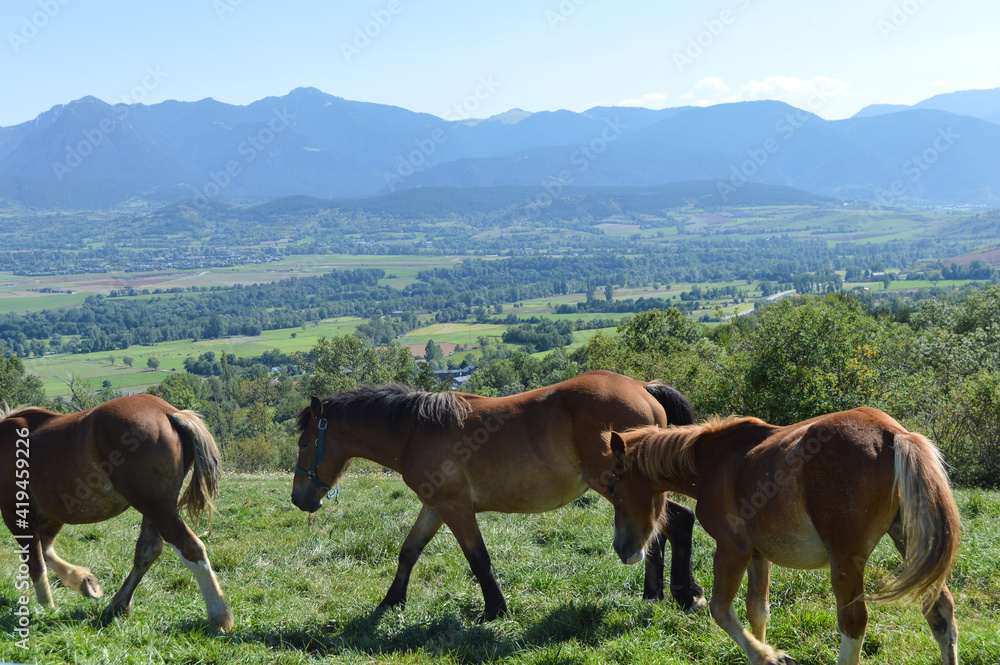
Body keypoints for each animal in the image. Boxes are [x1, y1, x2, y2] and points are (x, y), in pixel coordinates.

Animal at [0, 396, 234, 632]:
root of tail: (168, 413)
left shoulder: (17, 515)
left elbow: (36, 564)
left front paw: (47, 607)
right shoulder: (53, 516)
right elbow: (46, 551)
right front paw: (85, 581)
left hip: (157, 508)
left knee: (191, 548)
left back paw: (219, 615)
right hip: (155, 508)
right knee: (147, 551)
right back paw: (117, 605)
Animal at [292, 370, 708, 620]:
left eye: (304, 442)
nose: (299, 499)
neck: (415, 430)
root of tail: (643, 388)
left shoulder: (455, 508)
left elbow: (479, 560)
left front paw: (496, 609)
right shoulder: (435, 506)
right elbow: (409, 551)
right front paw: (392, 601)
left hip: (622, 486)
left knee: (678, 521)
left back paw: (686, 594)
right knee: (657, 530)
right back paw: (653, 594)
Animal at [604, 404, 964, 664]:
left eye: (612, 487)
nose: (623, 549)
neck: (716, 460)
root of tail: (895, 434)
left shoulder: (731, 551)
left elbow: (720, 610)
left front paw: (768, 656)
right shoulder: (758, 556)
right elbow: (757, 612)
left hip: (846, 562)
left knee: (853, 622)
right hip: (908, 541)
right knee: (940, 610)